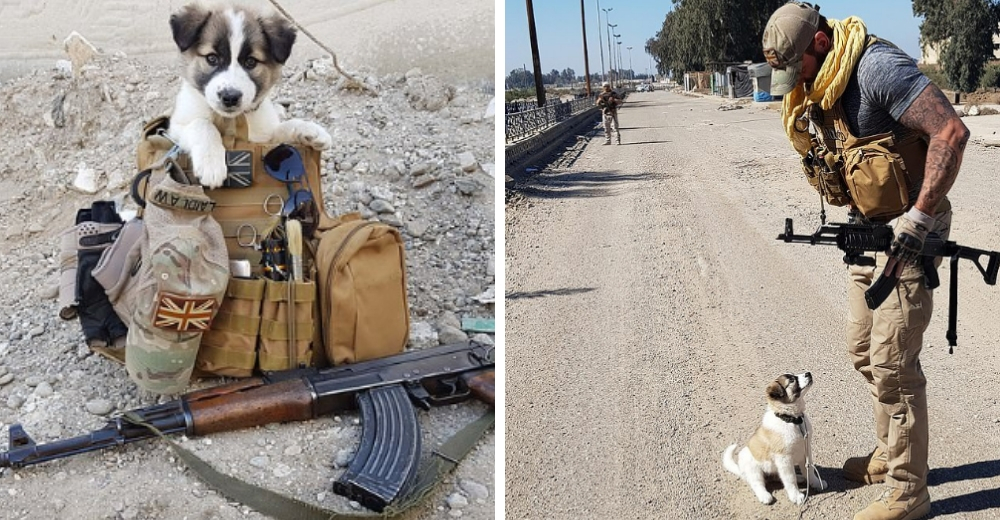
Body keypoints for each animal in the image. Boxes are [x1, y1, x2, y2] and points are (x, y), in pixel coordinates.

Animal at [166, 2, 332, 187]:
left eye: (251, 61)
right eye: (212, 58)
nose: (230, 97)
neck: (231, 120)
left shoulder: (263, 138)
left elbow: (284, 127)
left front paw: (310, 130)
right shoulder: (175, 129)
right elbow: (201, 123)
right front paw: (211, 163)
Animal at [720, 372, 828, 506]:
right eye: (791, 380)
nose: (808, 373)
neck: (793, 420)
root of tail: (740, 469)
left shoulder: (806, 450)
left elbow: (809, 471)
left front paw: (816, 483)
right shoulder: (784, 459)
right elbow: (790, 478)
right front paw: (796, 495)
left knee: (778, 477)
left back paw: (800, 478)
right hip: (752, 467)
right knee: (757, 483)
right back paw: (764, 496)